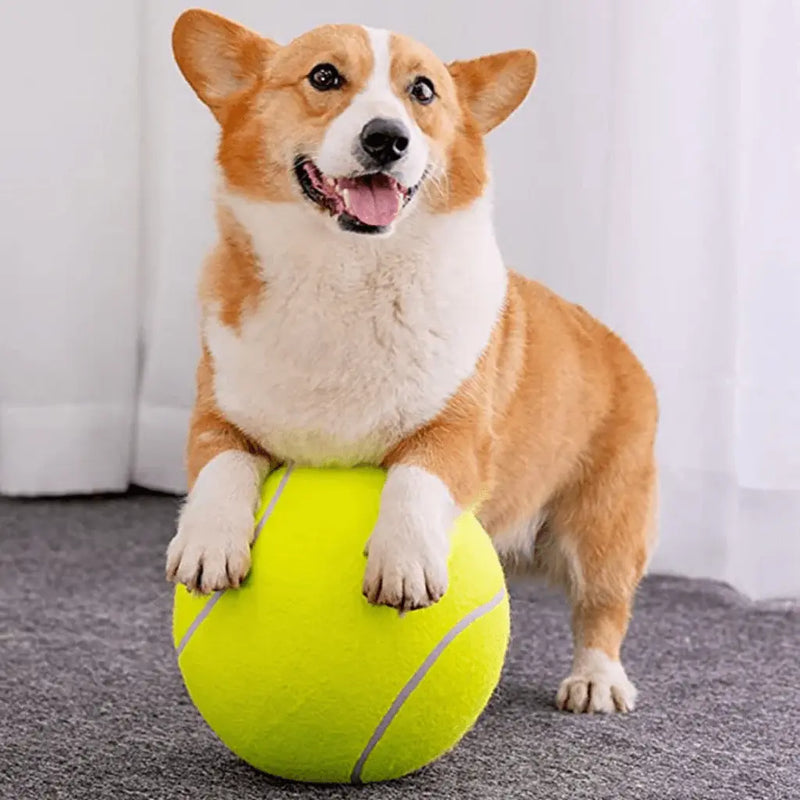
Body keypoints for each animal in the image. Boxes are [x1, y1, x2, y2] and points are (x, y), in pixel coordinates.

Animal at [167, 9, 656, 712]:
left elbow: (415, 476)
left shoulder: (461, 435)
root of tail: (616, 343)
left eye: (423, 91)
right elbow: (221, 465)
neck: (346, 274)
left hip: (605, 525)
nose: (387, 139)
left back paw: (597, 679)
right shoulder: (216, 415)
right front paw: (208, 545)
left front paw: (402, 564)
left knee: (603, 606)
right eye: (324, 76)